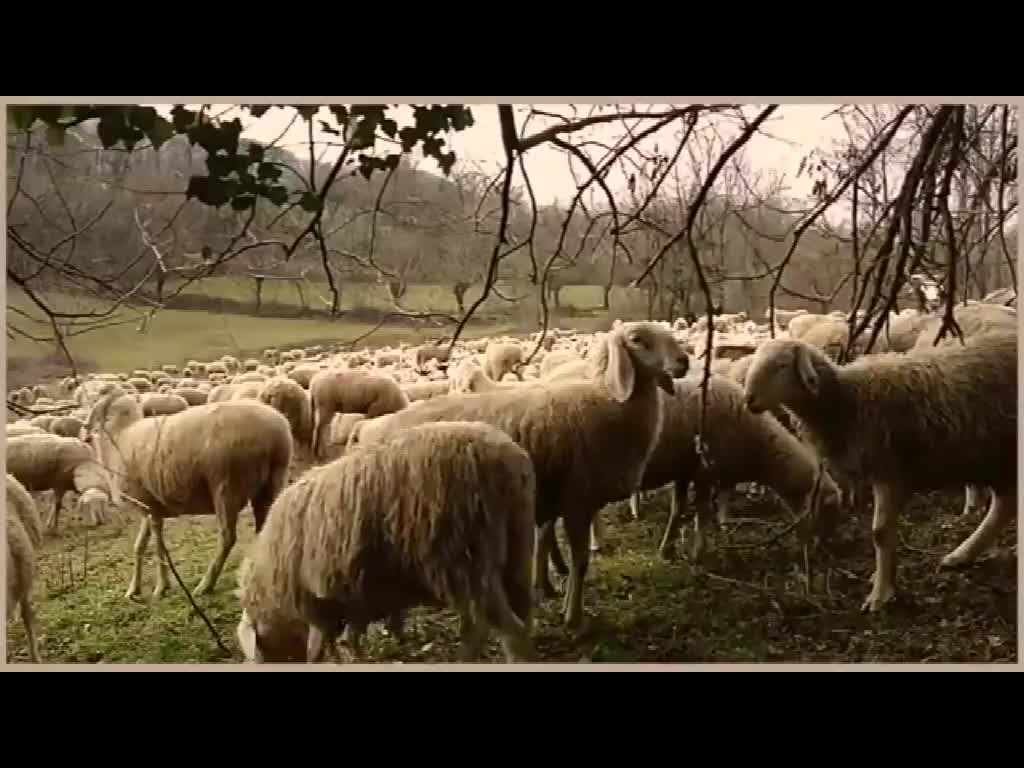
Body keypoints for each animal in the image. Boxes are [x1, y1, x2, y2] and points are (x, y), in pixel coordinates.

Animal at [85, 397, 294, 602]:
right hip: (272, 481)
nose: (87, 433)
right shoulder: (149, 508)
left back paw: (205, 585)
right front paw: (133, 590)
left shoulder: (152, 509)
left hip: (226, 486)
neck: (119, 437)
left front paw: (161, 587)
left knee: (227, 537)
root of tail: (276, 431)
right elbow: (140, 546)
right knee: (264, 529)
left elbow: (159, 547)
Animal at [232, 417, 536, 663]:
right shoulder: (353, 594)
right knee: (516, 616)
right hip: (516, 548)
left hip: (466, 560)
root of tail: (509, 460)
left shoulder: (317, 606)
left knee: (504, 629)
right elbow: (352, 635)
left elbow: (319, 648)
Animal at [348, 321, 692, 626]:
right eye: (637, 340)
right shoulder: (577, 500)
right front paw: (574, 617)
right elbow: (581, 563)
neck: (607, 399)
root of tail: (368, 431)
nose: (684, 362)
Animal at [638, 376, 839, 561]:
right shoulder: (705, 471)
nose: (823, 550)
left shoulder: (685, 472)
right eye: (827, 509)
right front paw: (698, 554)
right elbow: (703, 513)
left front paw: (667, 551)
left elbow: (677, 511)